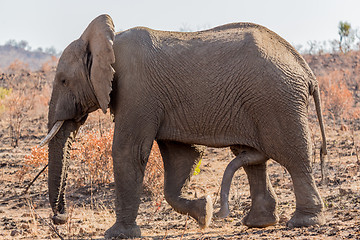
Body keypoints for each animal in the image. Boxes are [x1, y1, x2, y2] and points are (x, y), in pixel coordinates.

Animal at [40, 14, 328, 238]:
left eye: (63, 81)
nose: (60, 218)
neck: (107, 40)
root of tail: (306, 70)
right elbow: (182, 157)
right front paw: (205, 212)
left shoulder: (137, 91)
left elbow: (128, 151)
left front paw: (118, 235)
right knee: (251, 158)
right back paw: (258, 223)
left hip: (276, 99)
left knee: (293, 156)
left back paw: (303, 222)